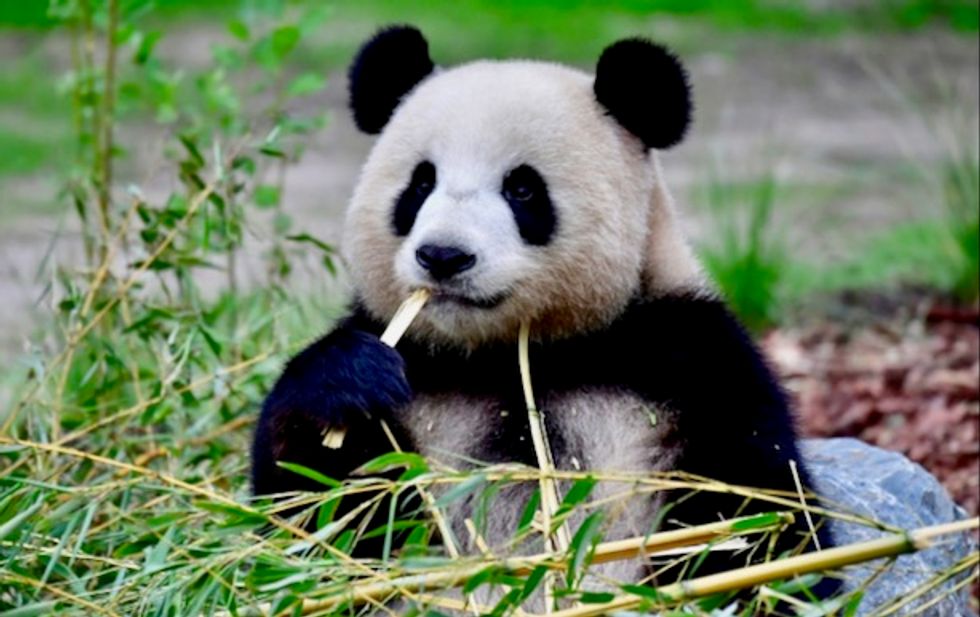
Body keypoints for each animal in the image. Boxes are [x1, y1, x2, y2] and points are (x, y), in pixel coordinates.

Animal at [251, 25, 838, 603]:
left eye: (522, 188)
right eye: (420, 184)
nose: (443, 256)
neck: (513, 353)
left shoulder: (690, 360)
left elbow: (760, 517)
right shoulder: (413, 372)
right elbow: (311, 521)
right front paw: (346, 380)